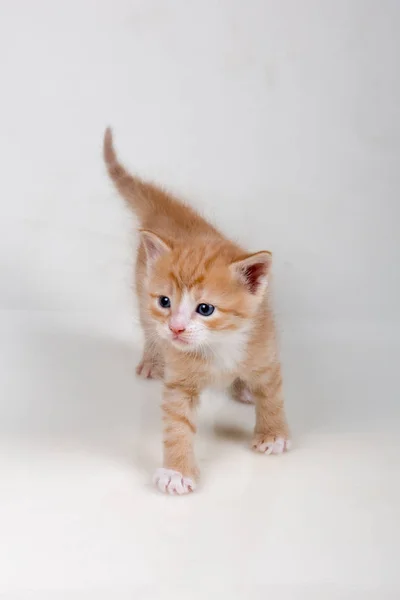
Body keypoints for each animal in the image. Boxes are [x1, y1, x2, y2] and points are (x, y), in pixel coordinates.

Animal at [103, 129, 290, 494]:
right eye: (166, 302)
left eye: (205, 309)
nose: (175, 328)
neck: (218, 347)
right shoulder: (179, 381)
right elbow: (177, 424)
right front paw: (177, 472)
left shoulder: (264, 350)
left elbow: (272, 393)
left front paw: (273, 434)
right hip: (142, 298)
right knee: (148, 329)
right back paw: (152, 359)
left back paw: (241, 387)